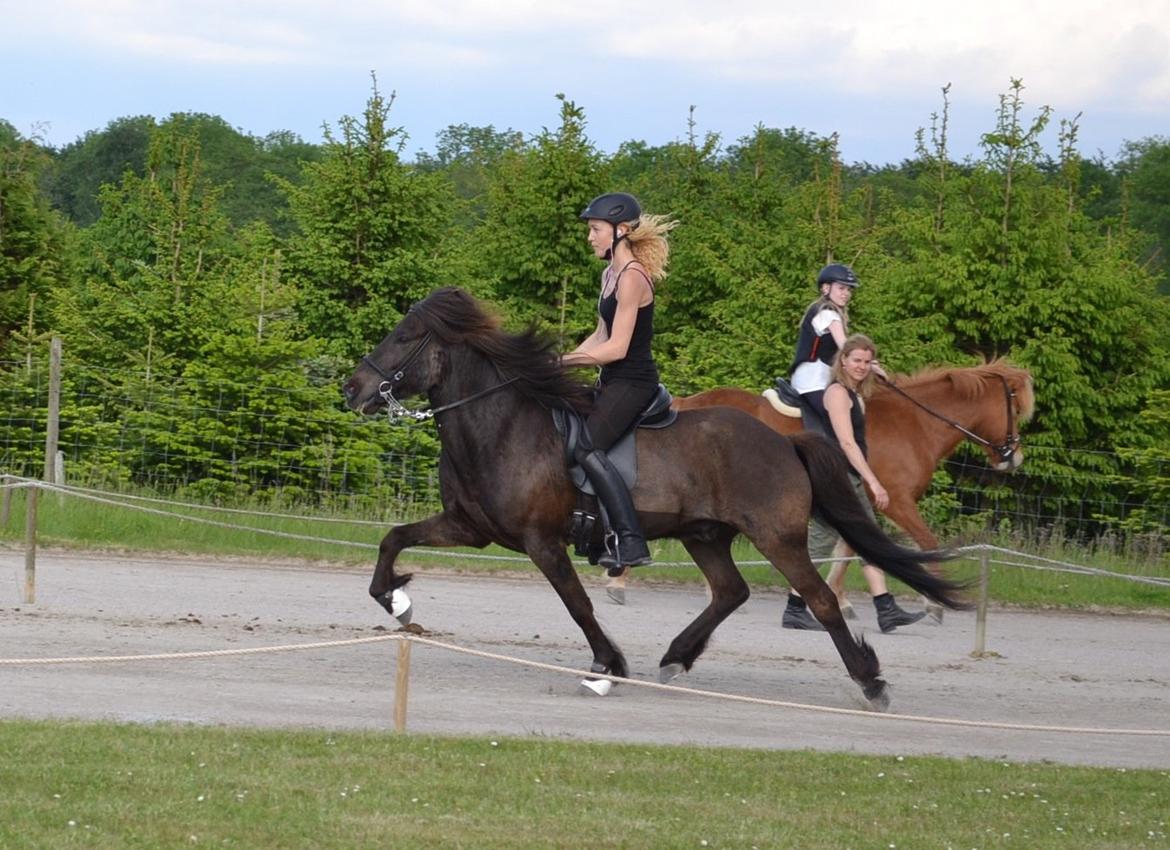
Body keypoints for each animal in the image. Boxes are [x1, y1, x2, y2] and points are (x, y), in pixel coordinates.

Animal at [341, 289, 964, 707]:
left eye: (403, 337)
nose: (352, 389)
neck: (501, 426)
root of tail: (785, 442)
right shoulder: (469, 527)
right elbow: (392, 541)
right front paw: (398, 602)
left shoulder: (543, 542)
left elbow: (578, 604)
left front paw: (606, 666)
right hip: (705, 534)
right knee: (731, 591)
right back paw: (676, 658)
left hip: (777, 537)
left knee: (820, 600)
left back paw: (871, 681)